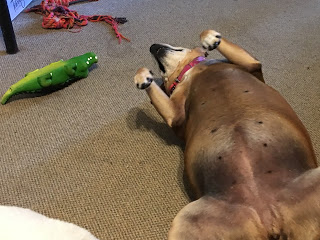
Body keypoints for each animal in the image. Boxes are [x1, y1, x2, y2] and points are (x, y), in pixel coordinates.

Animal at [134, 29, 318, 239]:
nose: (152, 46)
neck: (193, 72)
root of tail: (267, 219)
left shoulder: (251, 64)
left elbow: (206, 33)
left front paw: (210, 39)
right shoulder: (175, 115)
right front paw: (142, 77)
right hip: (186, 222)